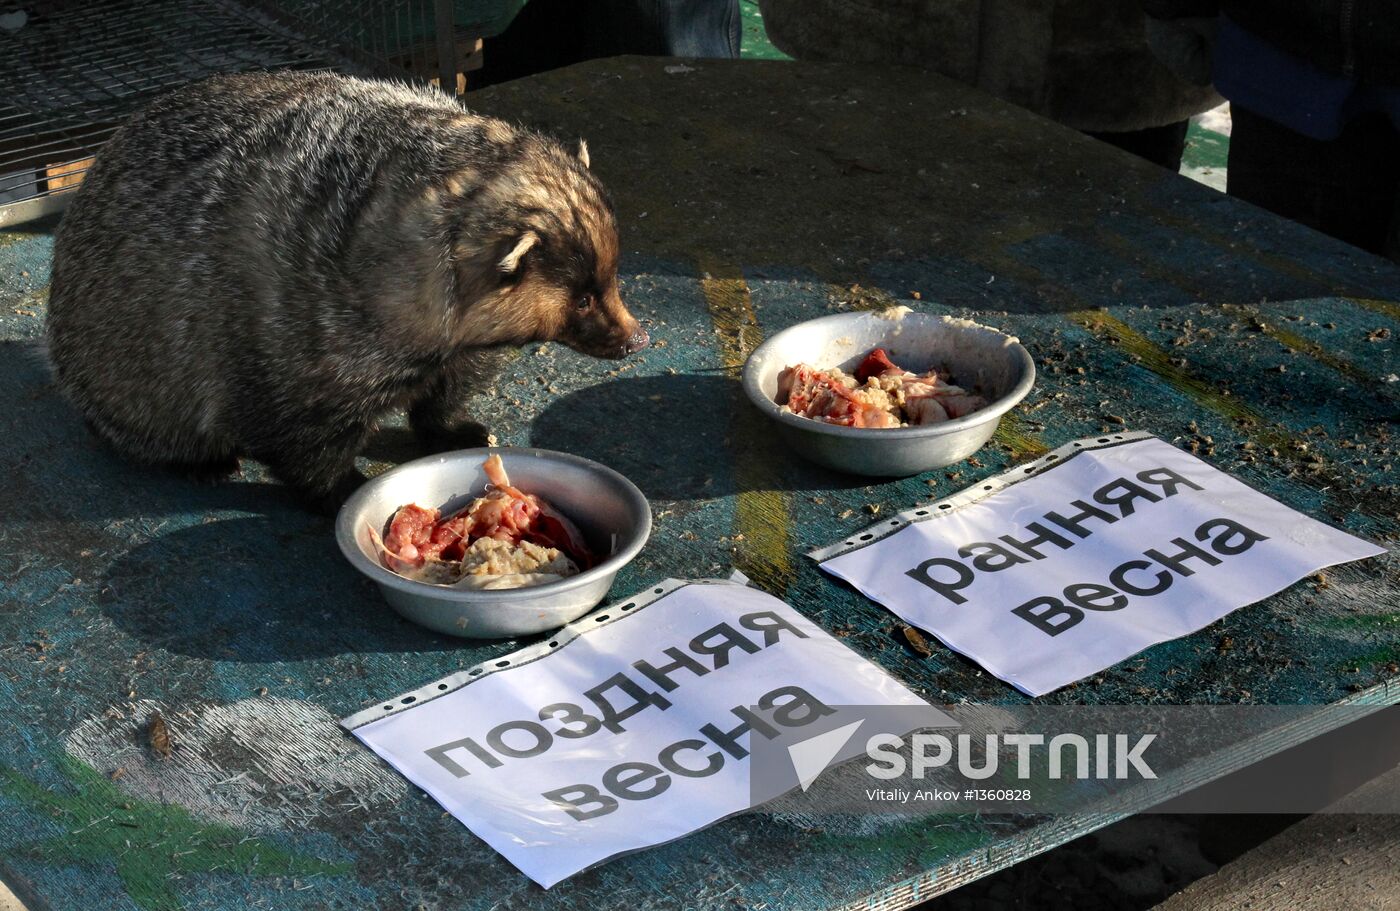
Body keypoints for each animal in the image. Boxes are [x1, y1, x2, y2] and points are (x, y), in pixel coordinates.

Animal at [46, 71, 646, 509]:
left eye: (612, 278)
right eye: (583, 297)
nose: (634, 339)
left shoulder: (455, 346)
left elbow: (451, 385)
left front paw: (460, 430)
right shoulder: (282, 335)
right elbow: (293, 431)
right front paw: (345, 487)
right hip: (125, 369)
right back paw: (203, 462)